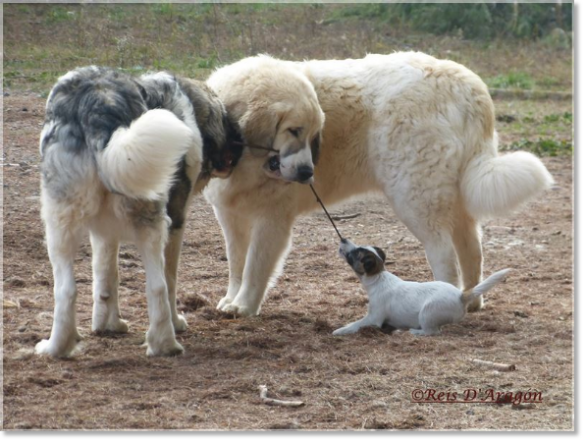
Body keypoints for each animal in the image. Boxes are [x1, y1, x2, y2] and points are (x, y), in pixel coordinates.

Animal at [37, 66, 242, 360]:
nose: (242, 147)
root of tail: (99, 101)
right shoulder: (176, 221)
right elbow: (168, 280)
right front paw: (175, 322)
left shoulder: (104, 234)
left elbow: (106, 278)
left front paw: (106, 325)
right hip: (153, 224)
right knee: (158, 285)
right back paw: (165, 344)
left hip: (58, 227)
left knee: (66, 290)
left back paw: (56, 348)